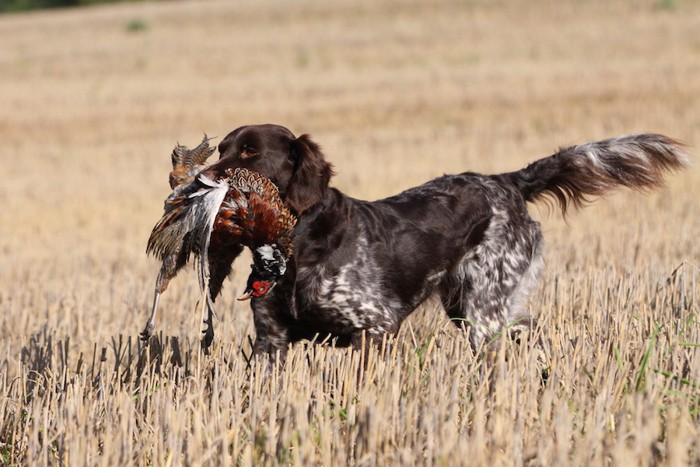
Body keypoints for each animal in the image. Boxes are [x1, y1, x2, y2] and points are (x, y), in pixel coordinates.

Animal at [194, 124, 688, 362]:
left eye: (251, 153)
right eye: (221, 149)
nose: (200, 180)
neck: (298, 246)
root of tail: (507, 182)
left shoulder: (375, 329)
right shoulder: (271, 341)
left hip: (485, 310)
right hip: (468, 305)